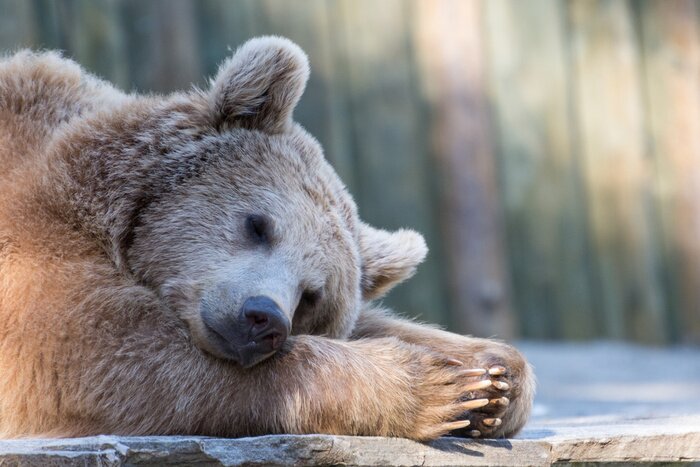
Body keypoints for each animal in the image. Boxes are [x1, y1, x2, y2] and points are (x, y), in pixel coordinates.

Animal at [0, 37, 534, 441]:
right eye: (258, 224)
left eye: (312, 295)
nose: (262, 318)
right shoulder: (34, 241)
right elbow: (97, 353)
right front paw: (431, 385)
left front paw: (492, 378)